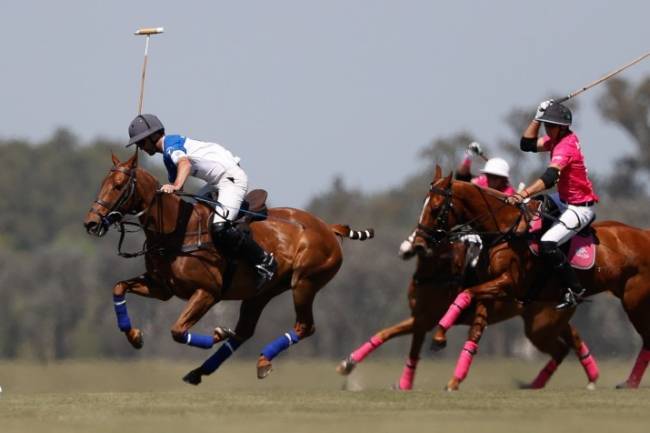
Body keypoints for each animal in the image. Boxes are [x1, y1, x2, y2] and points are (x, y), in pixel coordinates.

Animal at [83, 153, 372, 384]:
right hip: (262, 292)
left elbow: (178, 330)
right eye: (102, 184)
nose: (91, 222)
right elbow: (119, 287)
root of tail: (328, 228)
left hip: (304, 283)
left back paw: (259, 358)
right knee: (245, 331)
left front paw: (219, 331)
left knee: (304, 326)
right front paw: (134, 336)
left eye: (118, 186)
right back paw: (210, 370)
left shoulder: (207, 292)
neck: (177, 232)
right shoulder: (161, 287)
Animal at [340, 221, 596, 390]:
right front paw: (348, 364)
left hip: (540, 327)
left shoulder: (428, 319)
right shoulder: (421, 318)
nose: (405, 249)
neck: (436, 273)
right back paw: (584, 377)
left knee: (562, 347)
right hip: (547, 322)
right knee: (570, 340)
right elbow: (387, 334)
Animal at [416, 165, 648, 388]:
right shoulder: (490, 290)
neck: (504, 230)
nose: (419, 242)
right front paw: (454, 378)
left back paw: (630, 383)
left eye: (435, 208)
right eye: (424, 204)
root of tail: (645, 235)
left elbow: (465, 292)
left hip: (633, 300)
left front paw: (439, 336)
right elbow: (474, 327)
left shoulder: (509, 284)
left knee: (646, 339)